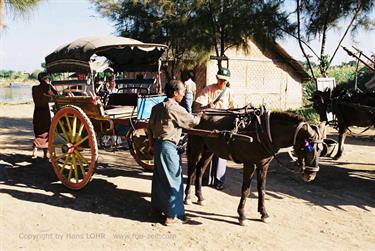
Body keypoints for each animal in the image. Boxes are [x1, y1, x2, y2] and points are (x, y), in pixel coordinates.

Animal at [185, 108, 324, 226]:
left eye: (321, 149)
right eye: (307, 147)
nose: (311, 175)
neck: (263, 132)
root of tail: (198, 114)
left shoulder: (264, 165)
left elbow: (261, 189)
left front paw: (264, 214)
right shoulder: (249, 163)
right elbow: (246, 190)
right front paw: (242, 216)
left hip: (209, 150)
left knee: (200, 170)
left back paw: (200, 198)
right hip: (197, 147)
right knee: (192, 170)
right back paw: (187, 197)